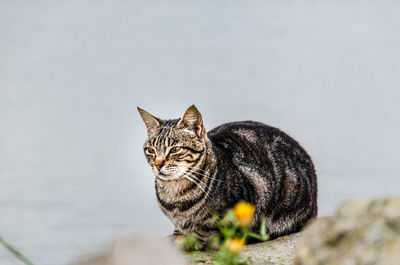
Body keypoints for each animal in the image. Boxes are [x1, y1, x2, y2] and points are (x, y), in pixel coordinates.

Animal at [139, 104, 318, 244]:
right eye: (151, 150)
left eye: (175, 149)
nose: (158, 164)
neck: (175, 197)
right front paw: (178, 234)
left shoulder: (250, 197)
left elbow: (209, 228)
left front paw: (191, 238)